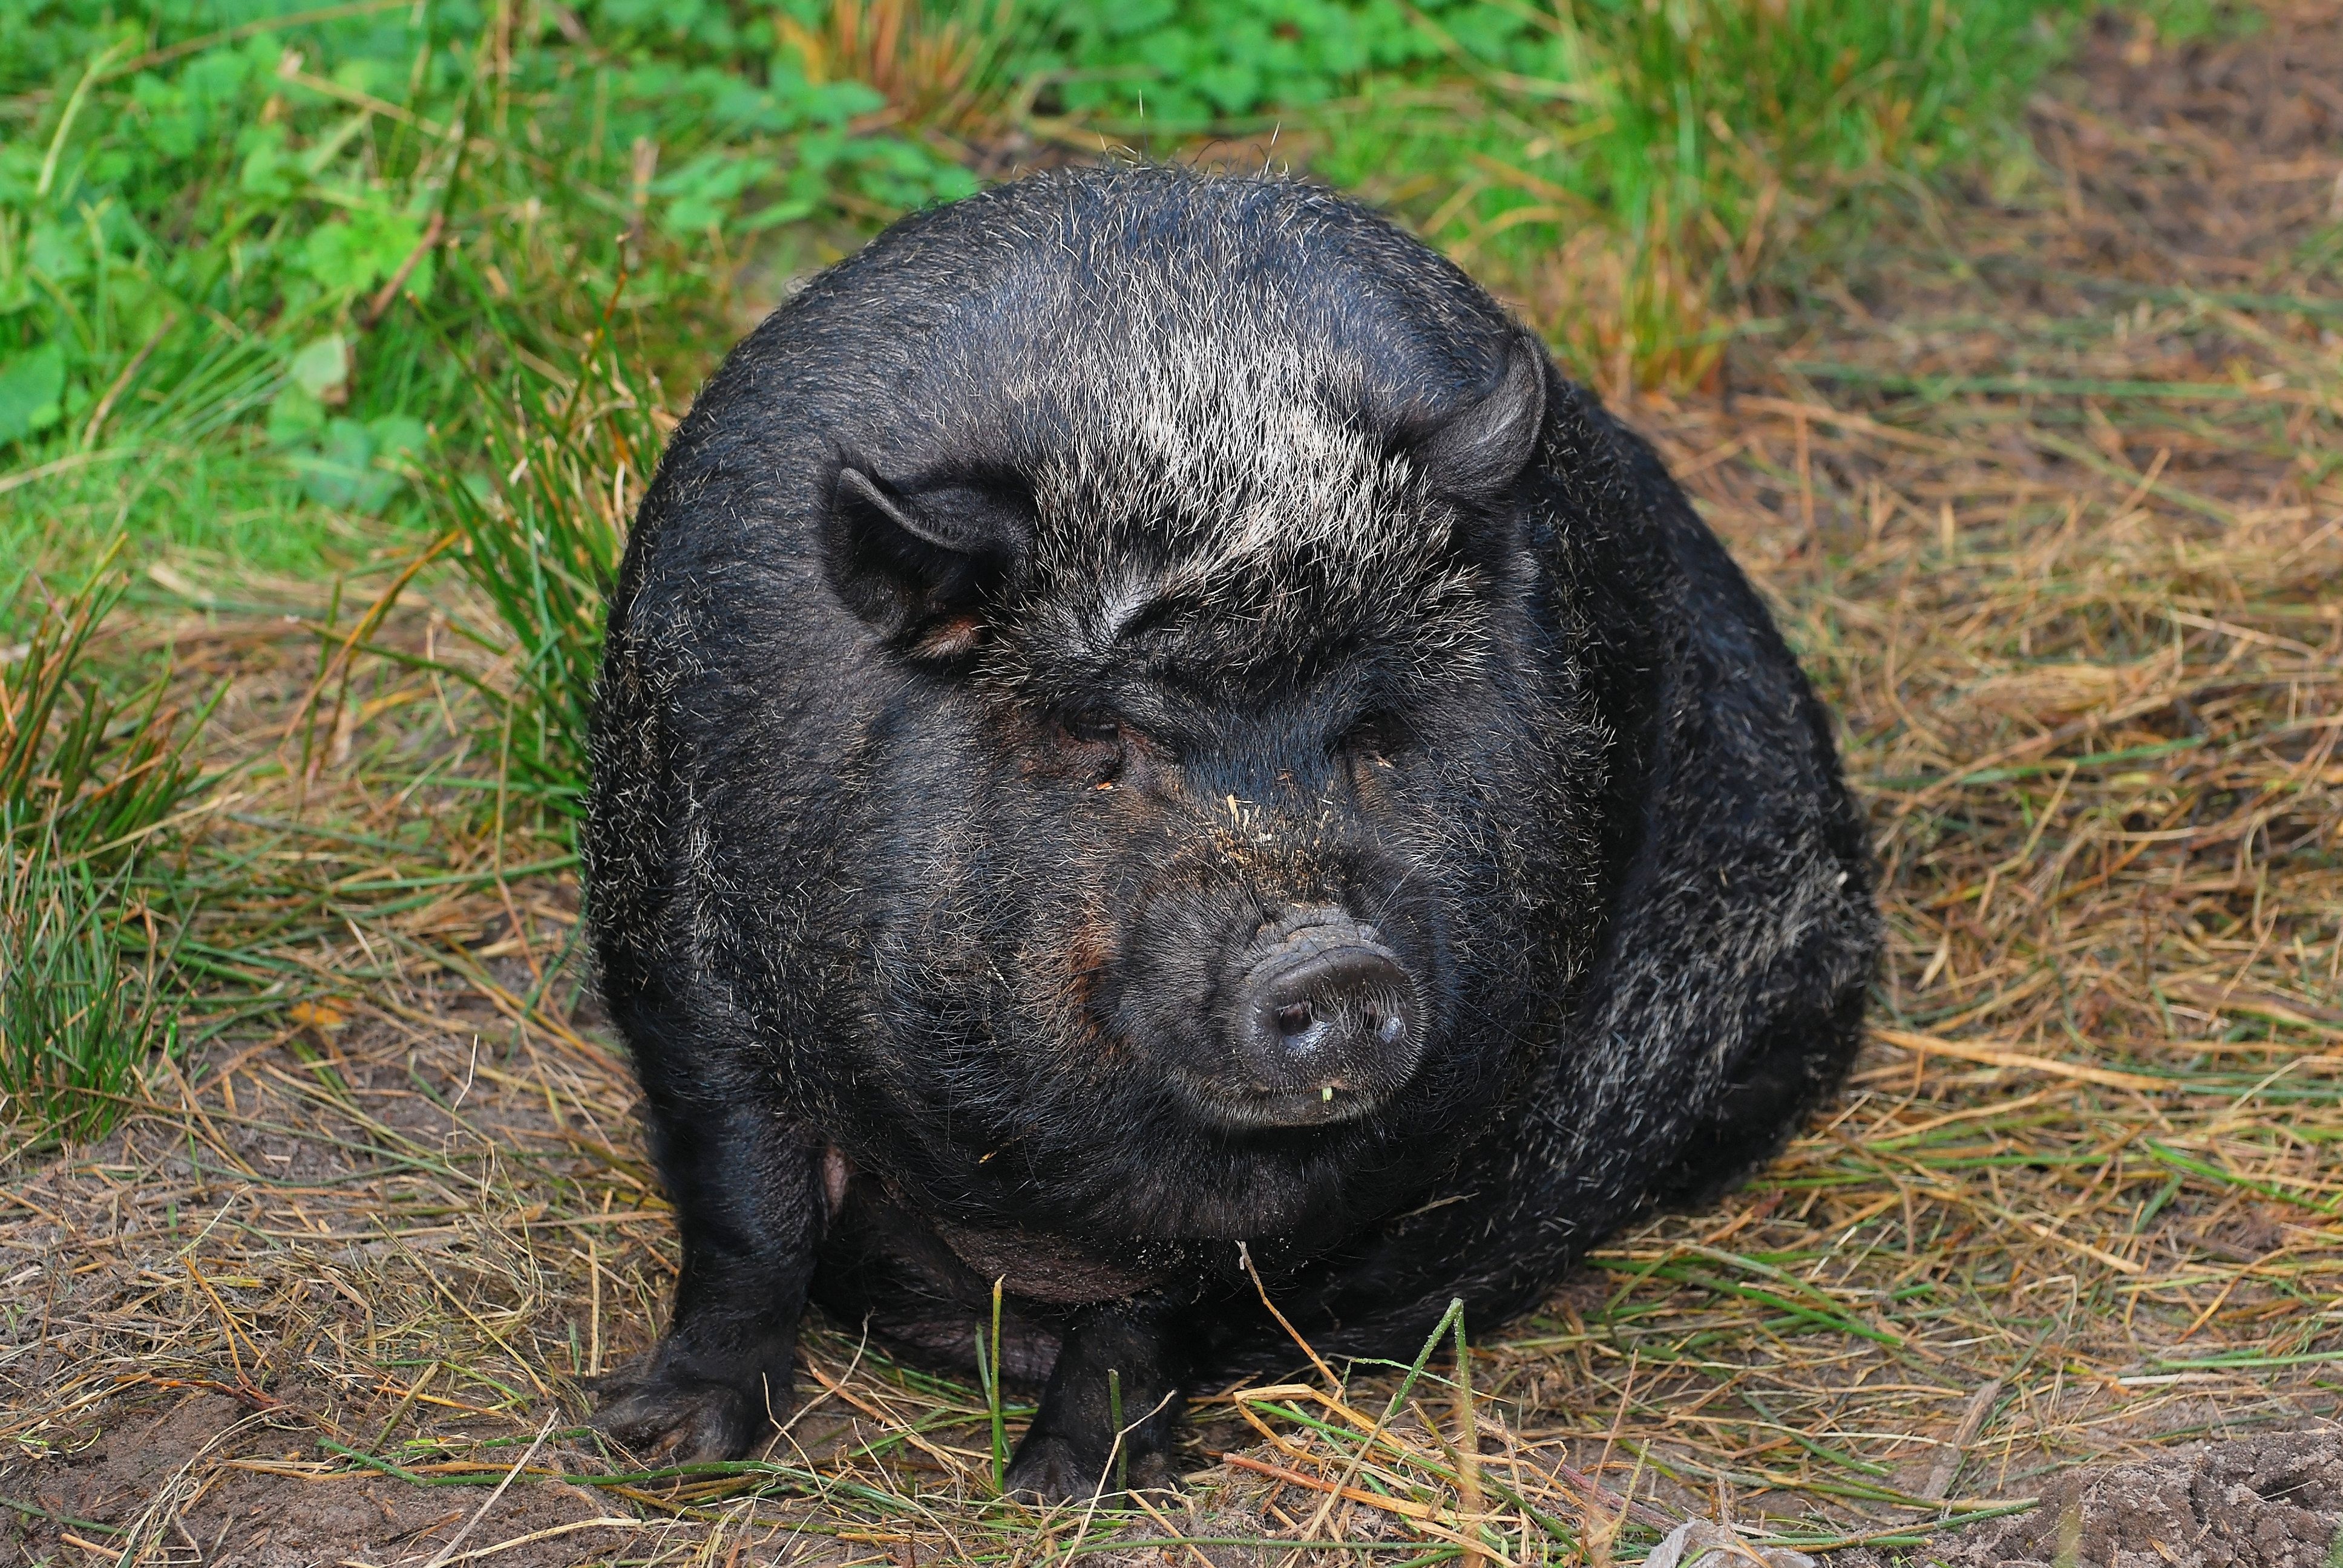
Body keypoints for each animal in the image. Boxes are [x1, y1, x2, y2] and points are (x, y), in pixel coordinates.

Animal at [584, 164, 1878, 1500]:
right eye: (1100, 735)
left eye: (1375, 727)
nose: (1332, 957)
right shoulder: (684, 946)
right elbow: (747, 1203)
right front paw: (657, 1445)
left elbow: (1173, 1292)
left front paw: (1066, 1487)